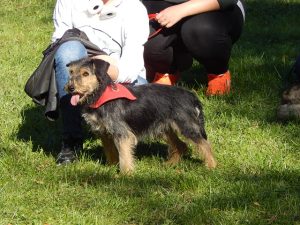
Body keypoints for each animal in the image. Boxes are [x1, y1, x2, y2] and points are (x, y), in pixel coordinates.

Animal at [65, 57, 216, 173]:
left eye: (85, 74)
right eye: (71, 72)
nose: (70, 88)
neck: (100, 94)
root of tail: (191, 95)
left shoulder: (122, 134)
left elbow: (124, 155)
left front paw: (125, 174)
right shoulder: (104, 133)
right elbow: (110, 152)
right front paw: (111, 168)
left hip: (186, 126)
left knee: (205, 144)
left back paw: (211, 166)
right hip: (165, 128)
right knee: (181, 146)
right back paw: (170, 164)